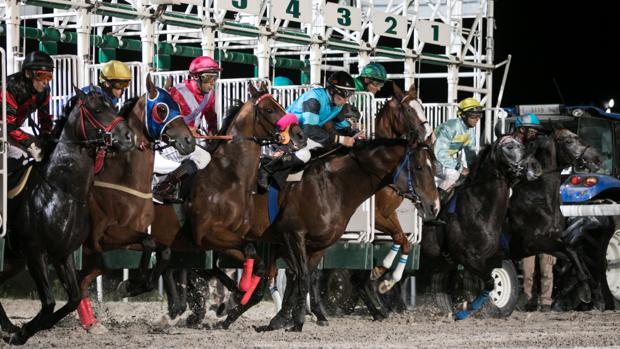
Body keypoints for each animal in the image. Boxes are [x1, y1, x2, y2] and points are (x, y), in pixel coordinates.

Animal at [0, 86, 135, 342]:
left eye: (114, 106)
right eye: (98, 109)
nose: (129, 137)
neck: (62, 191)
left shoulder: (64, 254)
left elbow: (73, 298)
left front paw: (28, 328)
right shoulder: (35, 253)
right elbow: (49, 302)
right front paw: (22, 333)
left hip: (11, 262)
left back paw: (7, 327)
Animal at [76, 75, 195, 330]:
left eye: (179, 106)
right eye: (162, 109)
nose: (189, 141)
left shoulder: (128, 238)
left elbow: (162, 250)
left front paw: (134, 285)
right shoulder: (105, 235)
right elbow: (151, 245)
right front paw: (131, 285)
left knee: (81, 281)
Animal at [418, 135, 540, 320]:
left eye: (522, 144)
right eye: (510, 146)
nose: (534, 165)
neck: (479, 208)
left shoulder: (486, 256)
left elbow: (487, 284)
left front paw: (463, 308)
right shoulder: (467, 257)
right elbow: (490, 283)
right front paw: (465, 308)